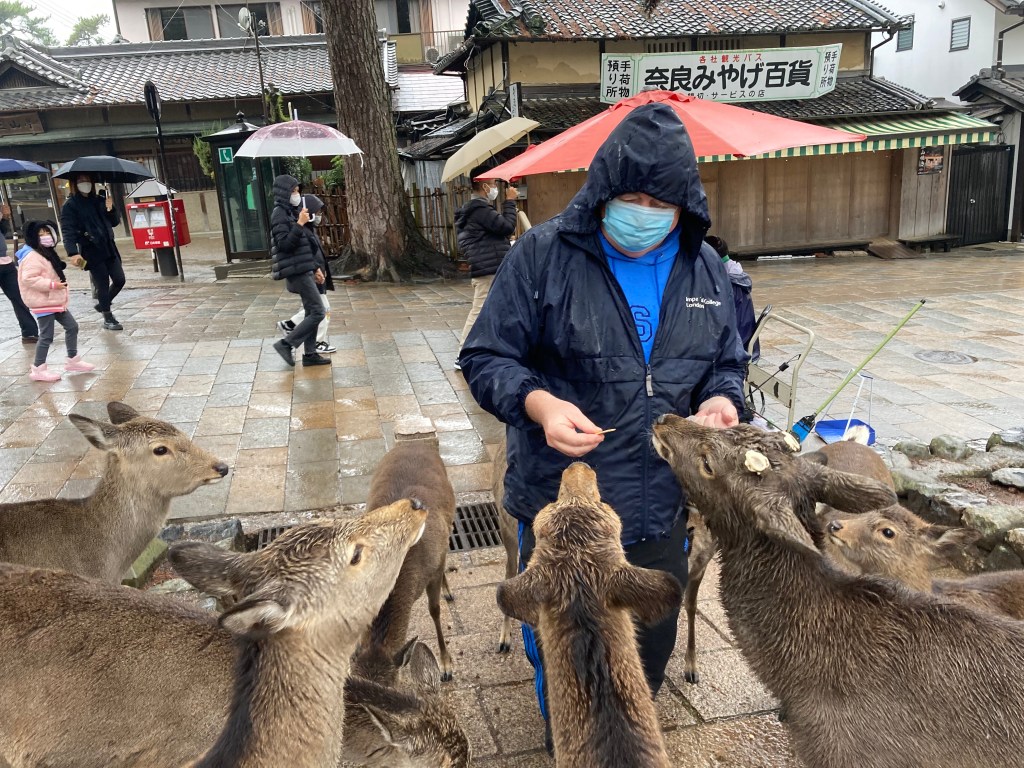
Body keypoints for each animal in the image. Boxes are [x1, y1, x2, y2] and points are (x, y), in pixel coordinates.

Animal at [363, 433, 457, 681]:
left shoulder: (433, 568)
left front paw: (446, 665)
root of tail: (414, 443)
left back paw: (448, 591)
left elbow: (435, 610)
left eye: (389, 684)